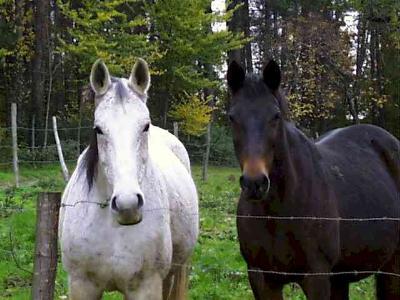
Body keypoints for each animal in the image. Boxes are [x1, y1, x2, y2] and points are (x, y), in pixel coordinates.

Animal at [227, 59, 398, 298]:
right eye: (232, 117)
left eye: (275, 116)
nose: (255, 183)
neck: (277, 213)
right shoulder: (261, 278)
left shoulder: (316, 277)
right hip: (342, 277)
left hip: (392, 265)